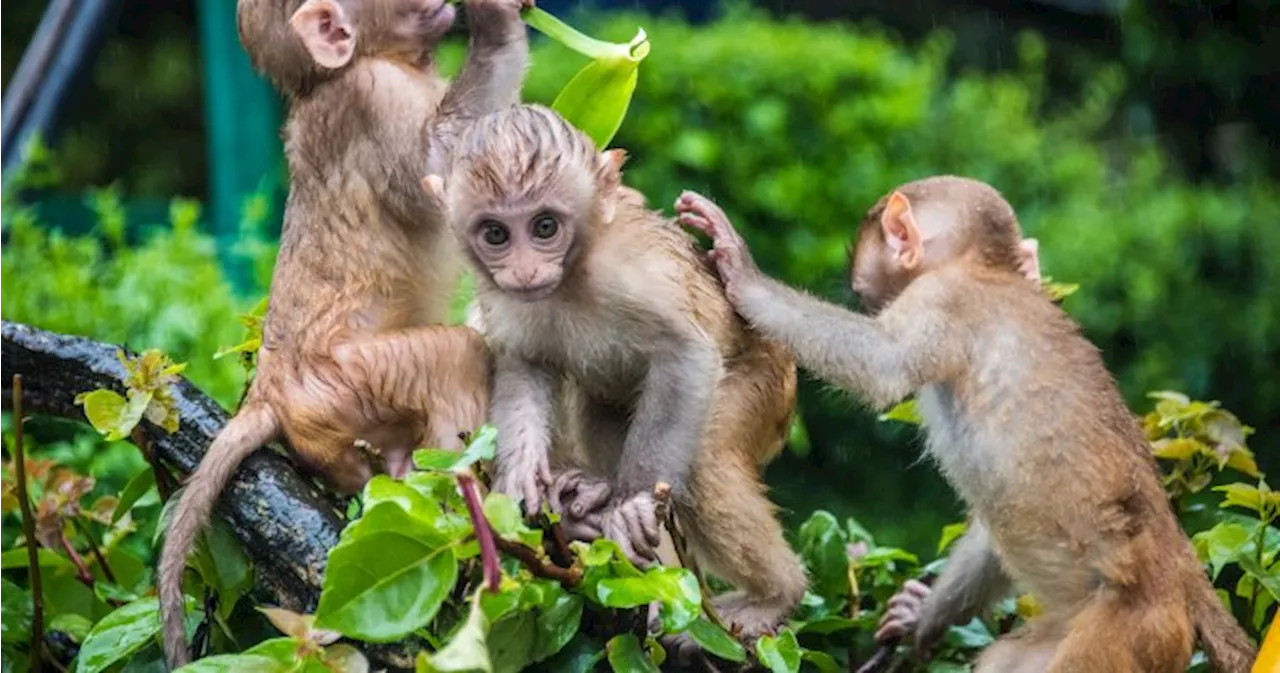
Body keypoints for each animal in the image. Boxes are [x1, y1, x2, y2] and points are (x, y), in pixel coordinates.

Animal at [157, 0, 532, 665]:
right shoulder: (371, 99)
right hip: (348, 383)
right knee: (457, 355)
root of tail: (271, 391)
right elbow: (435, 176)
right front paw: (495, 25)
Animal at [424, 105, 808, 649]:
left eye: (545, 226)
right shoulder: (500, 297)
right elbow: (525, 364)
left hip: (765, 388)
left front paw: (634, 505)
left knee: (704, 460)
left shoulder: (628, 272)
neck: (571, 277)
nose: (525, 272)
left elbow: (686, 354)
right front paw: (520, 476)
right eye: (496, 233)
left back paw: (774, 597)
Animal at [675, 177, 1254, 673]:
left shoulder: (944, 298)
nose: (865, 297)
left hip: (1132, 632)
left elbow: (882, 364)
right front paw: (921, 617)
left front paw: (742, 270)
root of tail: (1181, 574)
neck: (988, 269)